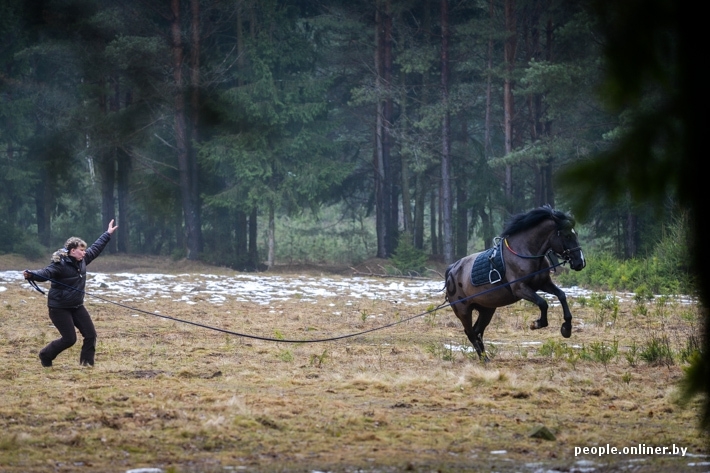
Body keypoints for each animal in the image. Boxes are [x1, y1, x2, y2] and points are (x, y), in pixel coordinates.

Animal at [444, 205, 588, 360]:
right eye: (567, 236)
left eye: (576, 234)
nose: (580, 263)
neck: (525, 253)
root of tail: (451, 270)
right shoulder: (520, 289)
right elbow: (543, 303)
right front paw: (537, 323)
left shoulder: (543, 284)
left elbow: (561, 295)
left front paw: (566, 328)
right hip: (463, 311)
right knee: (470, 333)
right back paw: (484, 359)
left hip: (487, 309)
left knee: (477, 331)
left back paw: (485, 358)